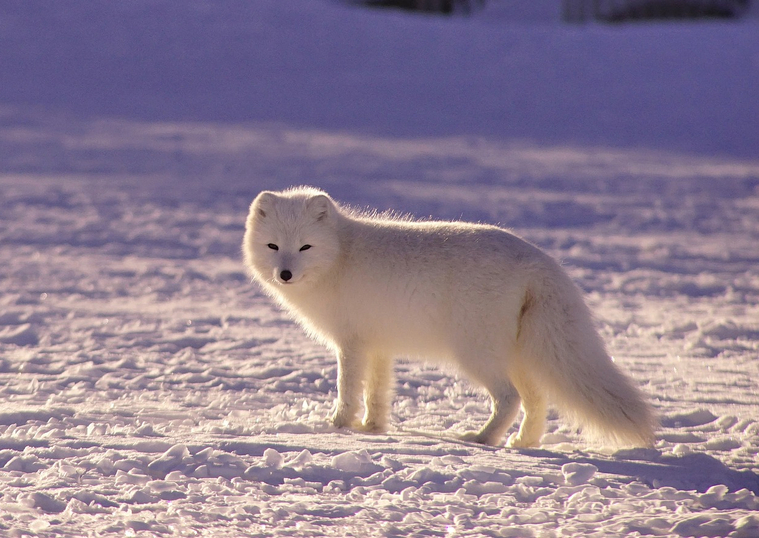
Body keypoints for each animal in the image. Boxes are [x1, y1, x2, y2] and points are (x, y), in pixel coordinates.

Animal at [245, 186, 660, 446]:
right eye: (273, 246)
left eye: (305, 247)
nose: (285, 274)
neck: (340, 256)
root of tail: (539, 261)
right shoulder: (378, 346)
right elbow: (378, 392)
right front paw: (372, 428)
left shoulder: (352, 345)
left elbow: (347, 389)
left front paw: (337, 426)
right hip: (521, 357)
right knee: (537, 402)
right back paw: (522, 442)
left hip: (475, 354)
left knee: (509, 398)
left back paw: (483, 438)